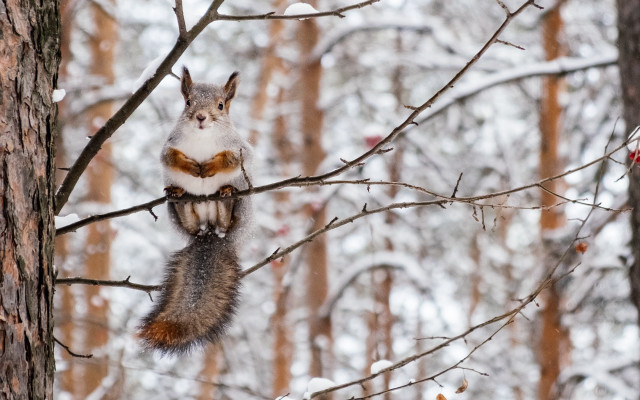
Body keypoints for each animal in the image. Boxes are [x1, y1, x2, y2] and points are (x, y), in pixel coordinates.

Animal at [138, 66, 253, 355]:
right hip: (179, 213)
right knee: (187, 213)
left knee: (226, 215)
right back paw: (180, 195)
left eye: (221, 106)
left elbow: (232, 158)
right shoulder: (169, 146)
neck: (203, 137)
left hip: (239, 208)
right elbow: (170, 157)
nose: (201, 117)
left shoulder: (241, 148)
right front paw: (190, 167)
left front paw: (210, 167)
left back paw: (226, 195)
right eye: (188, 102)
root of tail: (209, 232)